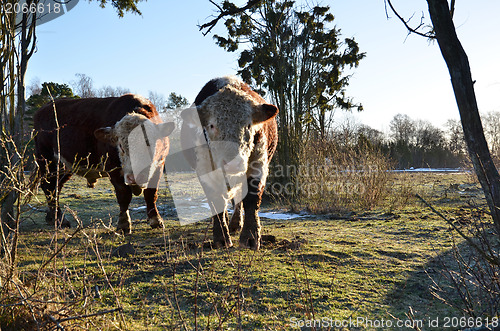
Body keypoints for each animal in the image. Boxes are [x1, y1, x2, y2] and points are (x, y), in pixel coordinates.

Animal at [33, 93, 174, 233]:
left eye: (151, 144)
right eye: (121, 146)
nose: (134, 177)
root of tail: (43, 108)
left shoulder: (159, 165)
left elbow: (151, 194)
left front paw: (156, 220)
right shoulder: (114, 169)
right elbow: (124, 195)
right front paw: (123, 224)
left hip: (65, 166)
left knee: (56, 187)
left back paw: (52, 217)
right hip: (47, 160)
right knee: (49, 187)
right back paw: (58, 220)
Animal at [182, 76, 280, 250]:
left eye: (248, 125)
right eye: (212, 125)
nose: (233, 163)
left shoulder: (258, 163)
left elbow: (251, 198)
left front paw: (250, 237)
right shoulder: (205, 171)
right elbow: (216, 200)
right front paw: (221, 238)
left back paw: (235, 223)